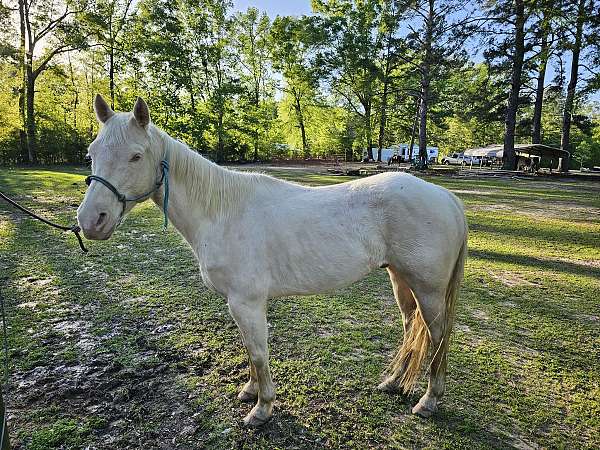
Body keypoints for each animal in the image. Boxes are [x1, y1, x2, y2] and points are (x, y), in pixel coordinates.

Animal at [76, 95, 468, 426]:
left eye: (135, 156)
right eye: (92, 153)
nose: (91, 220)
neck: (222, 212)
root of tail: (446, 197)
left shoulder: (246, 303)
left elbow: (259, 353)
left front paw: (261, 409)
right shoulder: (241, 304)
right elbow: (251, 352)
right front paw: (250, 391)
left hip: (428, 290)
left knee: (437, 336)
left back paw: (429, 401)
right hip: (401, 280)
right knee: (411, 328)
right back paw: (392, 383)